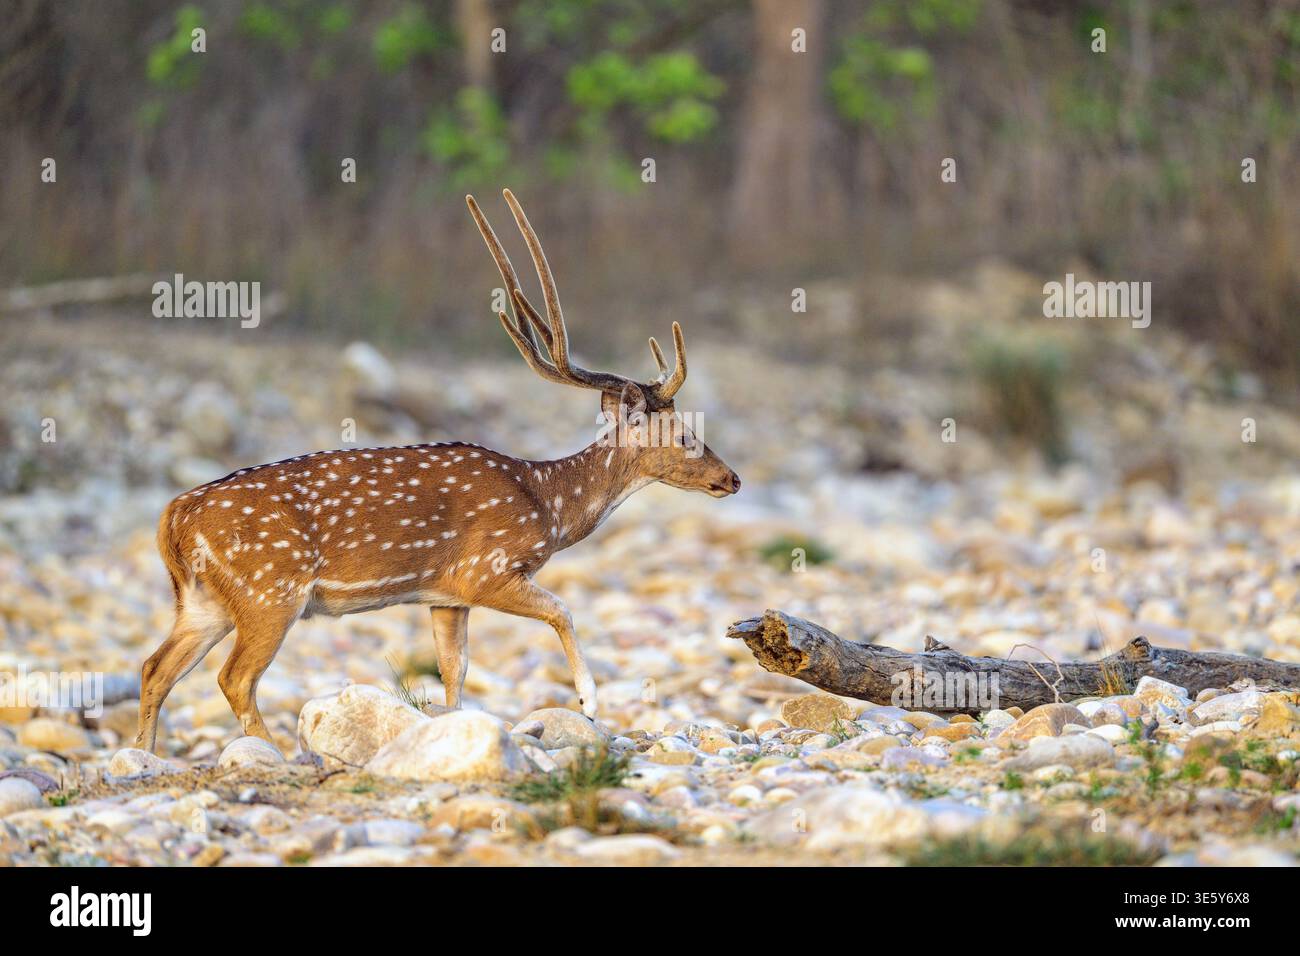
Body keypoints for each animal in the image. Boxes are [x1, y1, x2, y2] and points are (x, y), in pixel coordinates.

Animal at [135, 189, 741, 754]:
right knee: (234, 677)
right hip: (269, 589)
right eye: (685, 435)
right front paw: (589, 704)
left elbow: (455, 670)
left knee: (154, 666)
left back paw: (142, 754)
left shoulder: (446, 596)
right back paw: (278, 754)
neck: (548, 504)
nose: (732, 479)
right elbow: (563, 610)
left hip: (204, 601)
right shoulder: (486, 569)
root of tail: (174, 516)